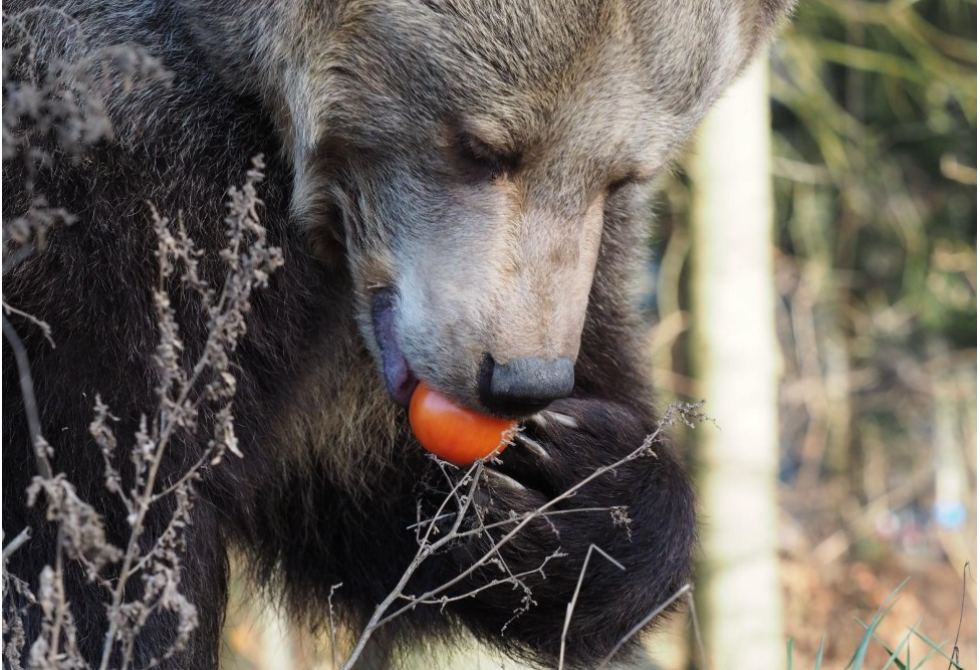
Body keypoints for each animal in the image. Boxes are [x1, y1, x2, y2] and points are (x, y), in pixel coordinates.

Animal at [1, 0, 788, 668]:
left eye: (624, 175)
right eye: (480, 147)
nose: (518, 381)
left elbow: (376, 501)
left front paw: (578, 490)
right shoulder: (129, 214)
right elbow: (96, 511)